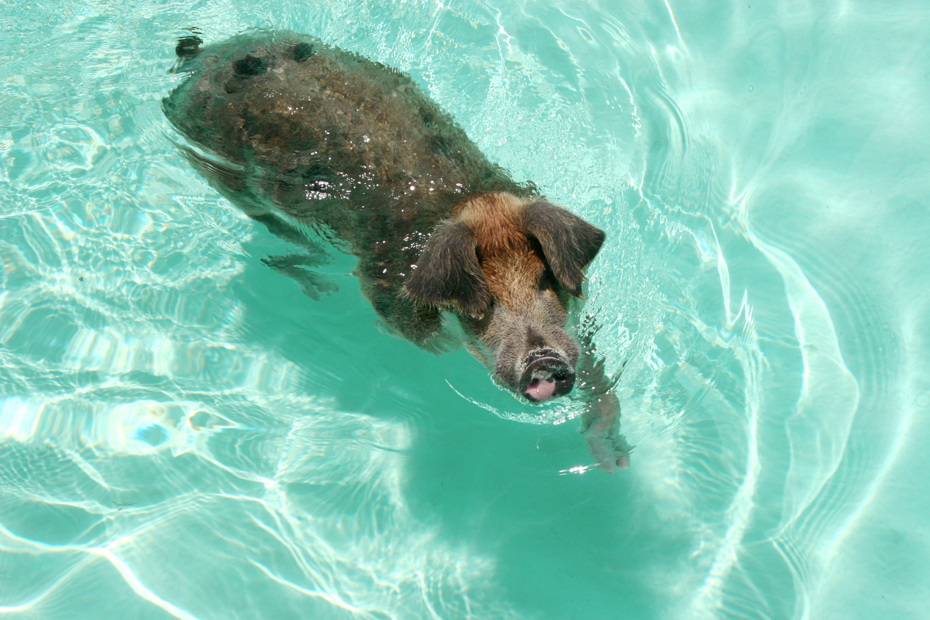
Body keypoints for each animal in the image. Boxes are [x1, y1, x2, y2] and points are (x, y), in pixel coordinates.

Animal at [162, 30, 630, 470]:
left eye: (545, 279)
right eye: (483, 301)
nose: (544, 361)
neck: (466, 205)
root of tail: (203, 60)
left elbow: (597, 373)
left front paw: (615, 463)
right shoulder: (388, 291)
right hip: (215, 168)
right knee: (277, 234)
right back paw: (320, 285)